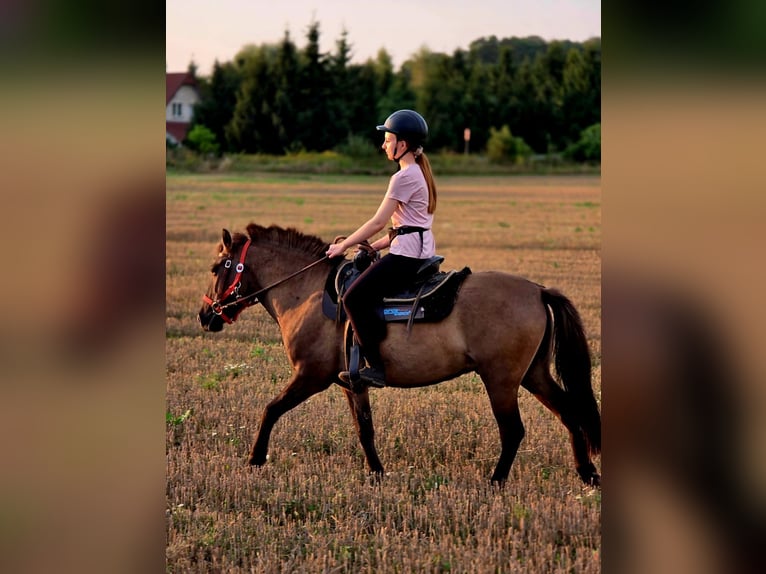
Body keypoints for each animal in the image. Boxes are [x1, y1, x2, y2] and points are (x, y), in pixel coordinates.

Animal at [198, 223, 601, 485]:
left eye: (217, 267)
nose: (205, 315)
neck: (306, 292)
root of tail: (538, 290)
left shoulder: (310, 376)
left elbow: (271, 409)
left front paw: (255, 458)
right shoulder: (351, 383)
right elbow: (365, 428)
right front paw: (377, 473)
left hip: (501, 380)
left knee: (514, 430)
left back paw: (497, 481)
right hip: (534, 374)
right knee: (569, 413)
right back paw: (587, 474)